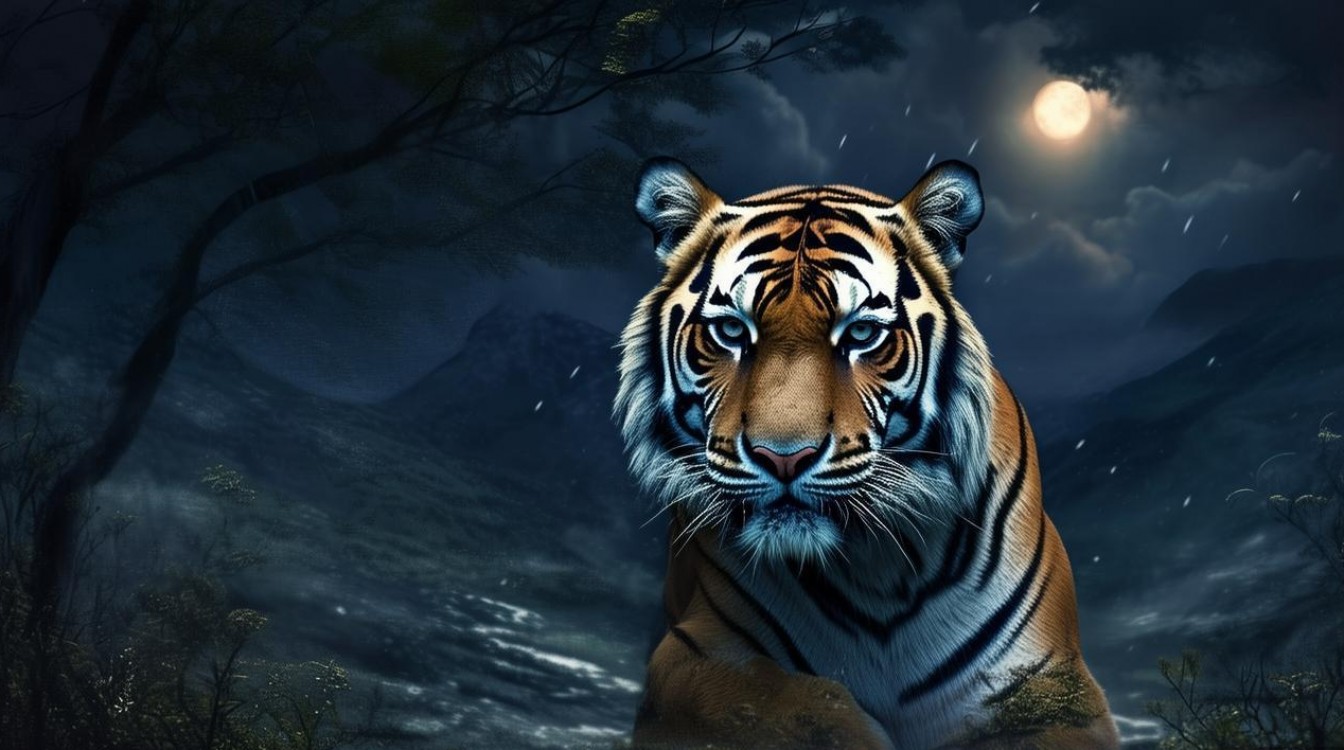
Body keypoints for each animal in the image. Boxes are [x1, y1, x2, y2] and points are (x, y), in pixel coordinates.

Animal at [613, 157, 1118, 750]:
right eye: (732, 329)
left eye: (859, 334)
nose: (783, 458)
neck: (878, 571)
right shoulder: (693, 661)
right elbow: (810, 711)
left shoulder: (1050, 686)